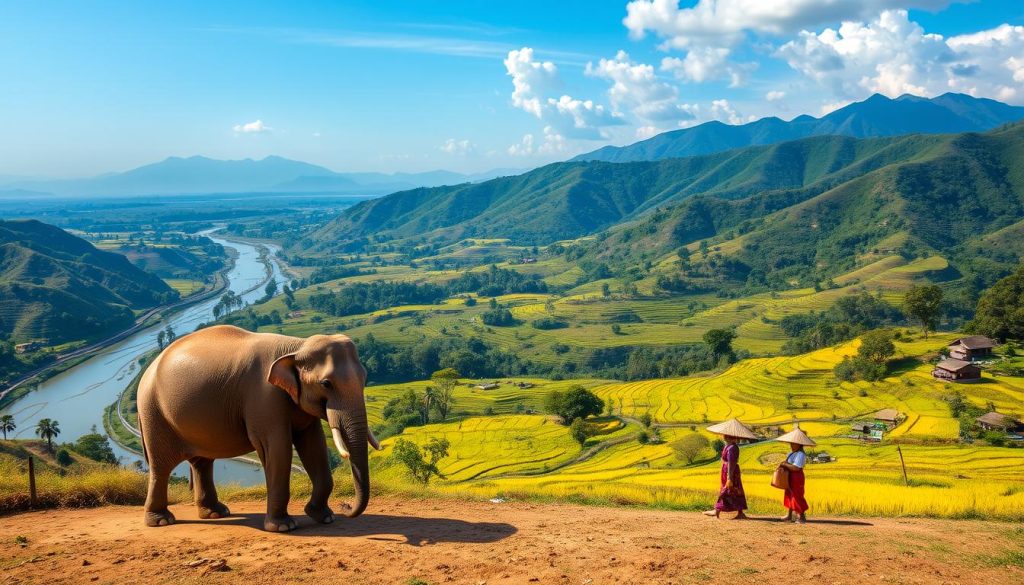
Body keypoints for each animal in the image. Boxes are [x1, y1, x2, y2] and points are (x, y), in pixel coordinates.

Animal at [136, 324, 381, 532]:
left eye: (365, 377)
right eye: (326, 384)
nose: (345, 506)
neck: (296, 347)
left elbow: (314, 445)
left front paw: (323, 517)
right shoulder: (264, 398)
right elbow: (277, 448)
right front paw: (283, 527)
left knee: (202, 463)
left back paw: (216, 513)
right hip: (154, 414)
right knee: (161, 466)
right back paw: (161, 521)